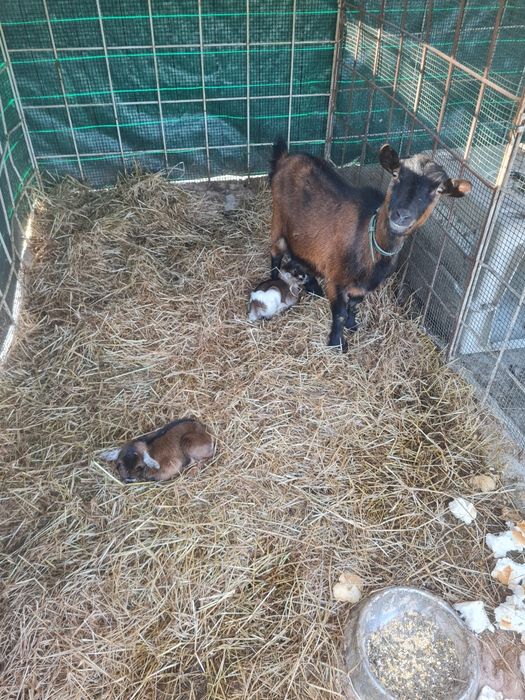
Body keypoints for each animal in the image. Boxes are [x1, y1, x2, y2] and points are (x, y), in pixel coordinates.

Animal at [269, 138, 472, 351]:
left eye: (439, 190)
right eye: (396, 174)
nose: (402, 215)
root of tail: (287, 157)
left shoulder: (363, 286)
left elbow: (354, 305)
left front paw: (352, 325)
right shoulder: (336, 280)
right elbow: (339, 313)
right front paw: (336, 344)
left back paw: (313, 286)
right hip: (278, 221)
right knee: (276, 252)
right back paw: (273, 279)